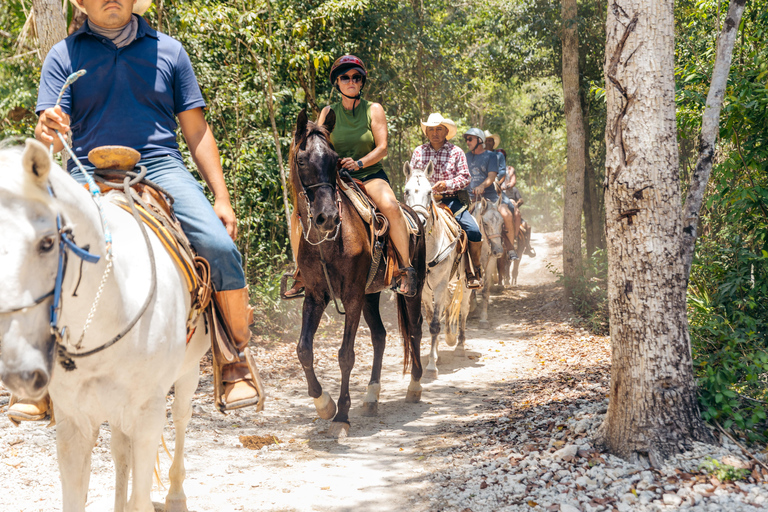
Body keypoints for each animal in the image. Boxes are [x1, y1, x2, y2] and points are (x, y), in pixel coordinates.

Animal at [0, 140, 210, 512]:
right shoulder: (73, 423)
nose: (18, 367)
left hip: (189, 372)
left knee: (182, 418)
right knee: (120, 450)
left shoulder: (148, 416)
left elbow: (141, 498)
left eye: (47, 242)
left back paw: (176, 496)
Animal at [288, 109, 426, 436]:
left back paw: (414, 386)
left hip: (412, 289)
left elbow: (345, 355)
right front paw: (324, 404)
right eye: (302, 160)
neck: (327, 242)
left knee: (415, 329)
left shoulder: (351, 296)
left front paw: (341, 414)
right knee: (379, 336)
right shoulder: (315, 296)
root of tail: (414, 215)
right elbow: (304, 349)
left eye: (335, 159)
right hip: (370, 295)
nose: (327, 217)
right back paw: (372, 396)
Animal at [404, 162, 472, 378]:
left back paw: (459, 346)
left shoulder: (441, 285)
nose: (420, 221)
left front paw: (432, 367)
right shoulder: (424, 290)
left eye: (429, 192)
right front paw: (434, 357)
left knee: (463, 310)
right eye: (406, 191)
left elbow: (435, 325)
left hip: (465, 283)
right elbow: (429, 320)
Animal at [468, 194, 504, 330]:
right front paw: (472, 309)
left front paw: (483, 318)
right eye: (485, 223)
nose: (498, 250)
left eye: (502, 223)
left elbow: (485, 290)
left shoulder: (490, 262)